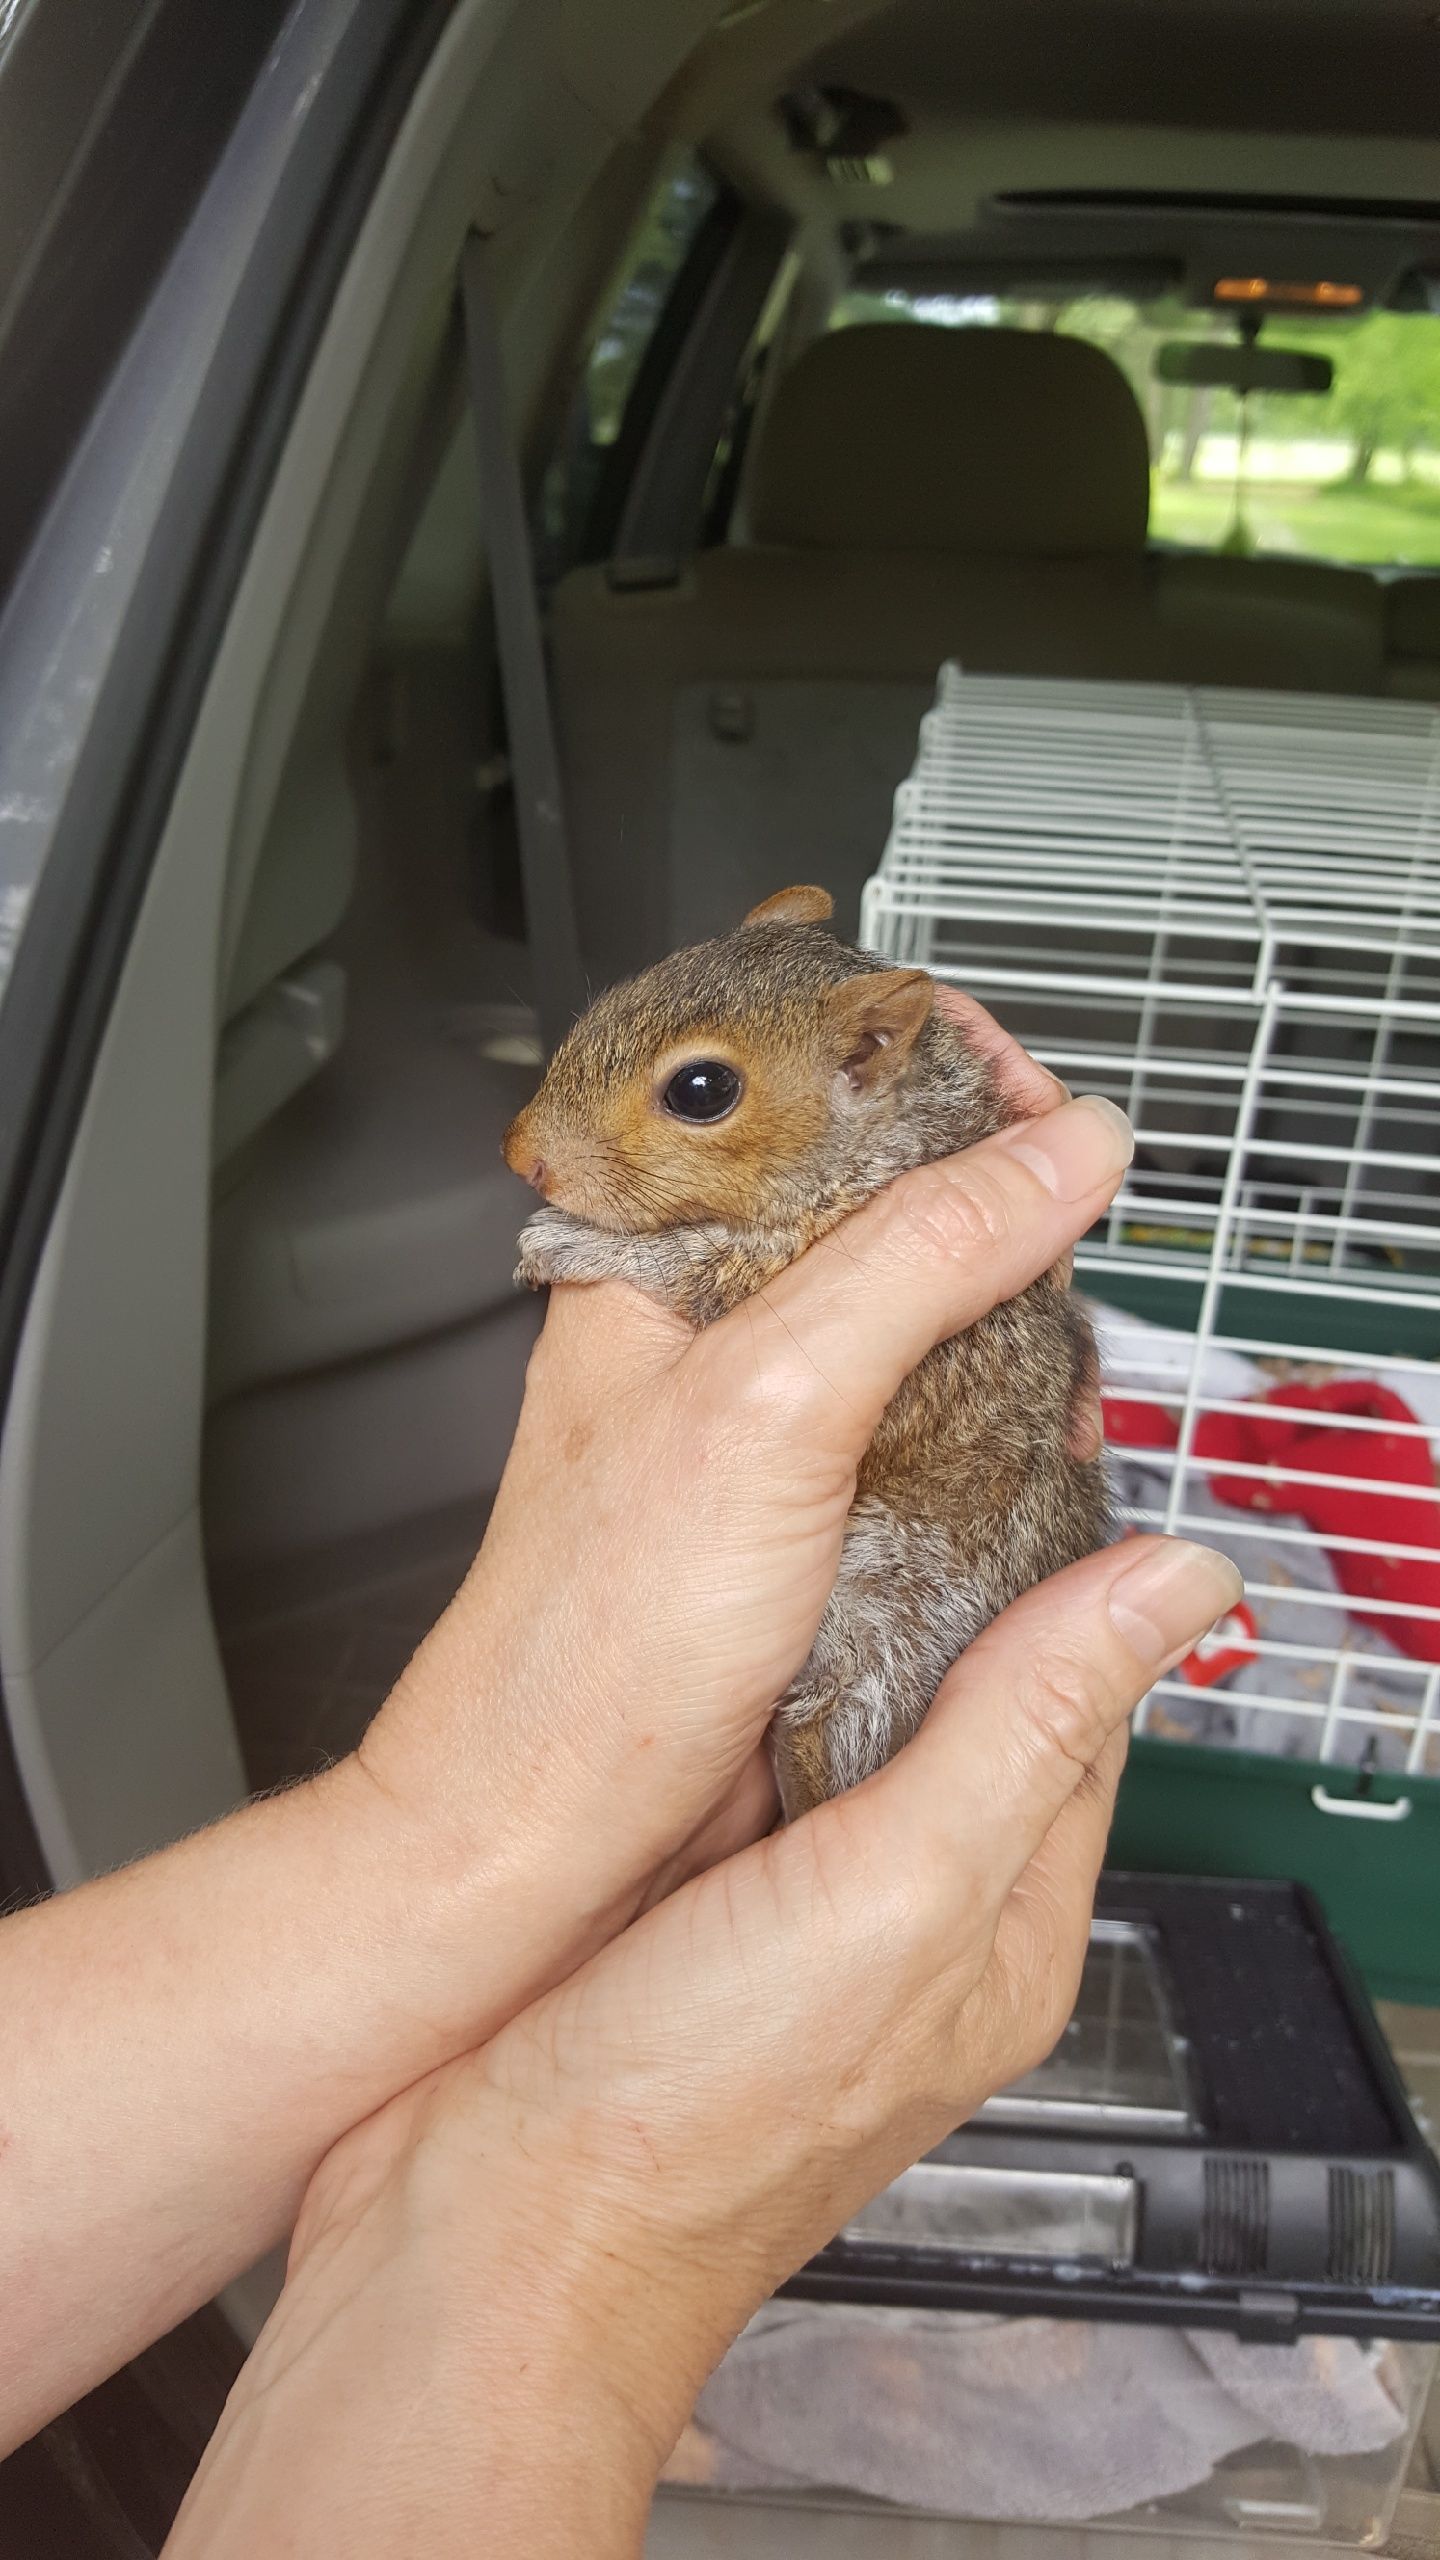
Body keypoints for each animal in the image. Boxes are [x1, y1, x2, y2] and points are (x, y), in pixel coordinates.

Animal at [504, 890, 1112, 1812]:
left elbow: (687, 1268)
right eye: (620, 994)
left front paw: (570, 1243)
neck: (876, 1148)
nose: (520, 1155)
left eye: (703, 1089)